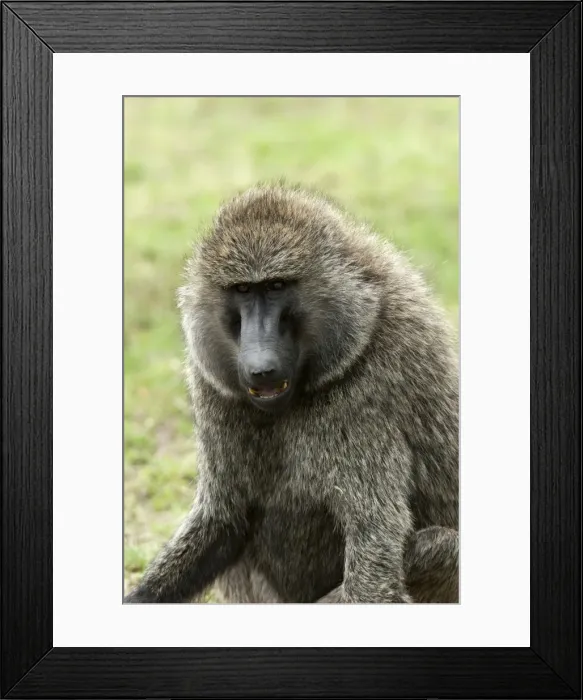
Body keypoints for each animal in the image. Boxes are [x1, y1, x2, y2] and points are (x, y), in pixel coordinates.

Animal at [125, 184, 459, 604]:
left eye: (276, 286)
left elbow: (374, 553)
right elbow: (223, 519)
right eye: (243, 289)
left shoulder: (372, 392)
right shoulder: (211, 383)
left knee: (440, 546)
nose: (260, 366)